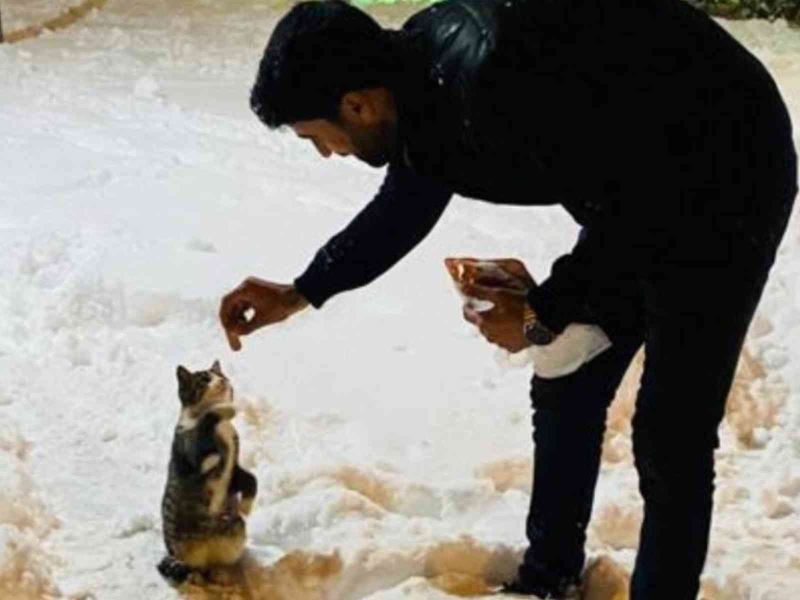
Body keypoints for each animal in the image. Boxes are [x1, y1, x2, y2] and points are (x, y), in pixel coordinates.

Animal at [161, 358, 260, 584]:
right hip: (180, 551)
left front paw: (246, 506)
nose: (222, 381)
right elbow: (208, 420)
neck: (222, 430)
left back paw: (222, 574)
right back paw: (195, 577)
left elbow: (251, 478)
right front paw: (227, 409)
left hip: (236, 530)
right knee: (189, 568)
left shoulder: (235, 467)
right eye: (204, 379)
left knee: (216, 564)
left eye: (222, 376)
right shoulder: (190, 454)